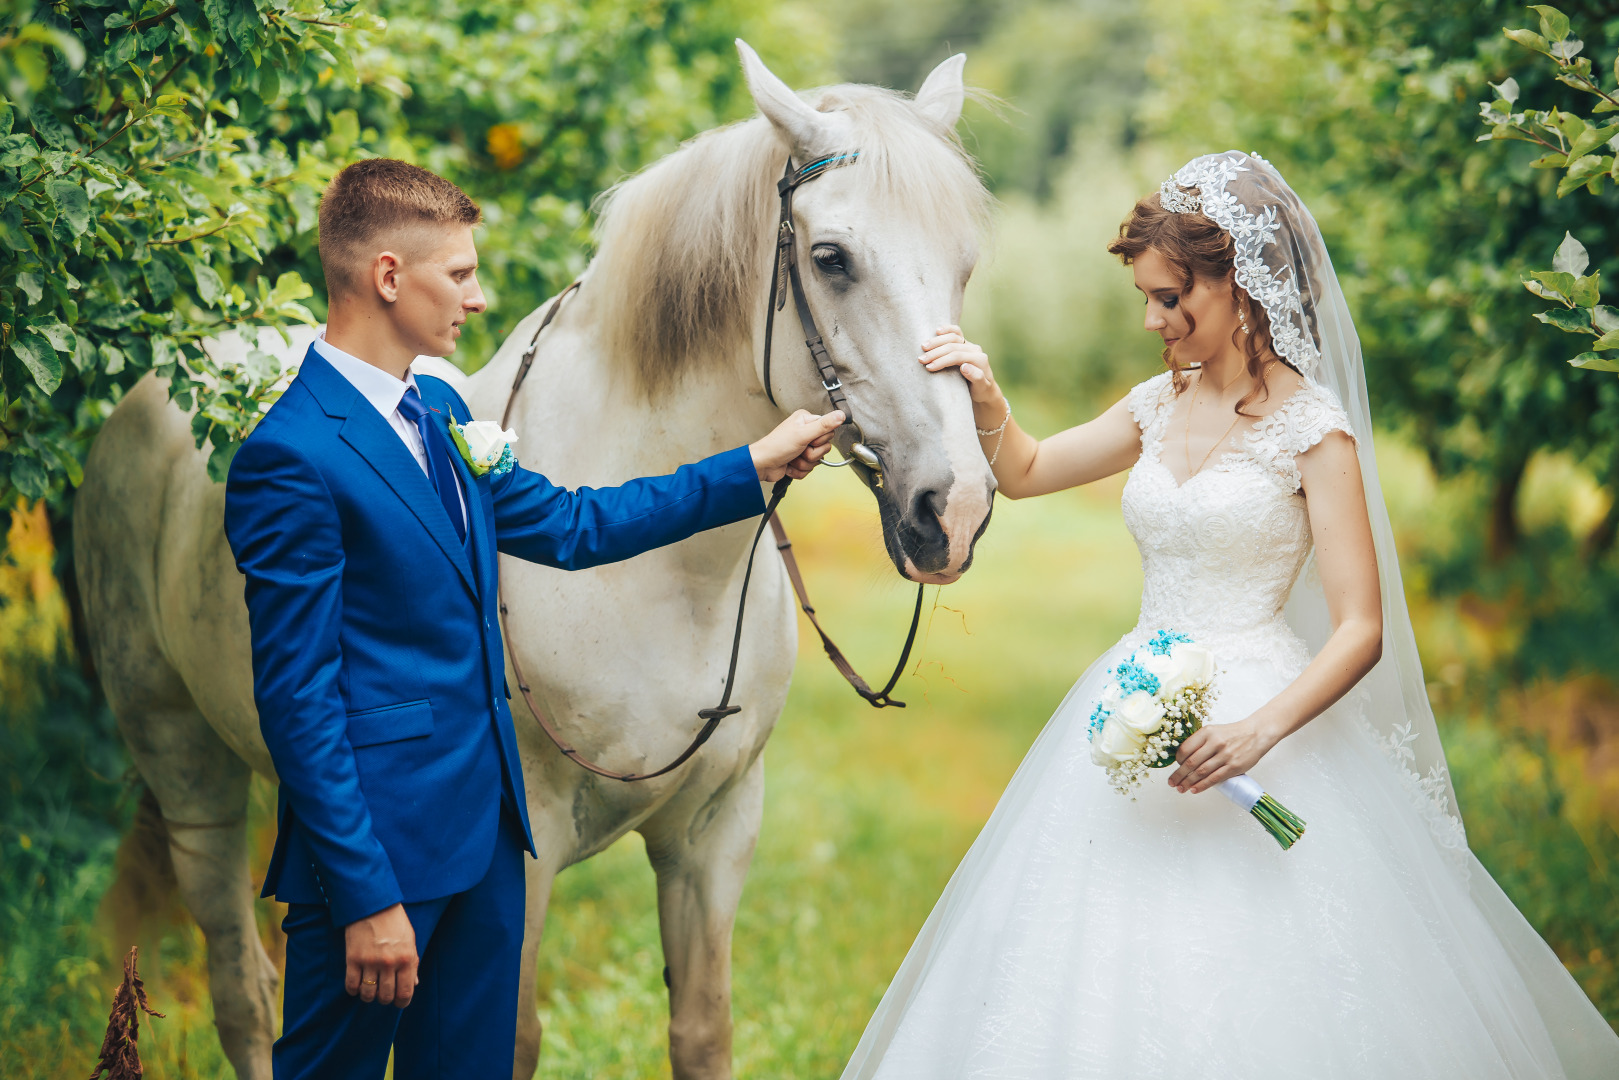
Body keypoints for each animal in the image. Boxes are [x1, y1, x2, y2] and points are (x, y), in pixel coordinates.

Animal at [72, 46, 997, 1080]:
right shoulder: (524, 853)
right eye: (832, 259)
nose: (953, 509)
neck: (668, 583)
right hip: (187, 771)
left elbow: (702, 1030)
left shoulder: (713, 835)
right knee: (244, 993)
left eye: (963, 264)